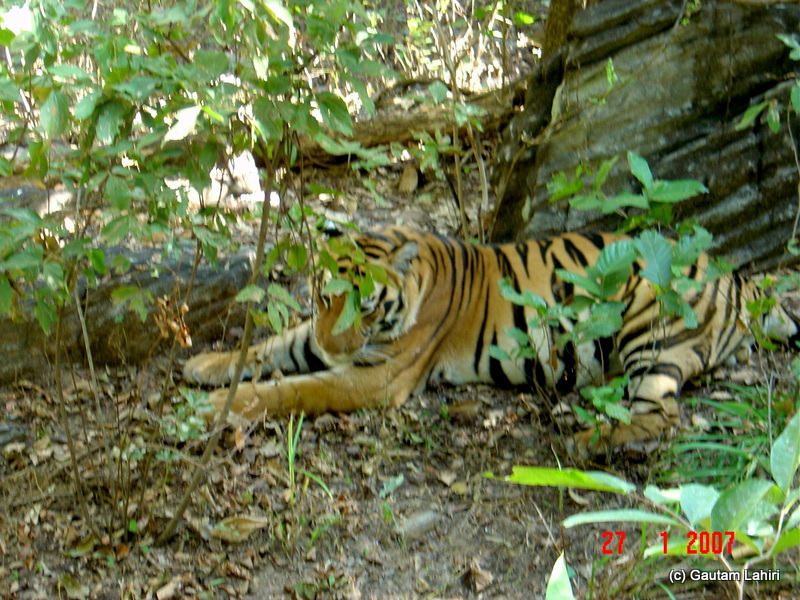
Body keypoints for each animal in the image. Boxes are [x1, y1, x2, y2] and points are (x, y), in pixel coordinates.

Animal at [183, 226, 799, 455]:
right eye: (325, 295)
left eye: (368, 303)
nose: (336, 348)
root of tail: (741, 279)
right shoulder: (320, 339)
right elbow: (272, 348)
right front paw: (204, 365)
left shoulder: (378, 376)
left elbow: (297, 388)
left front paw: (214, 408)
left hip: (651, 329)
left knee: (664, 416)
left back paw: (585, 440)